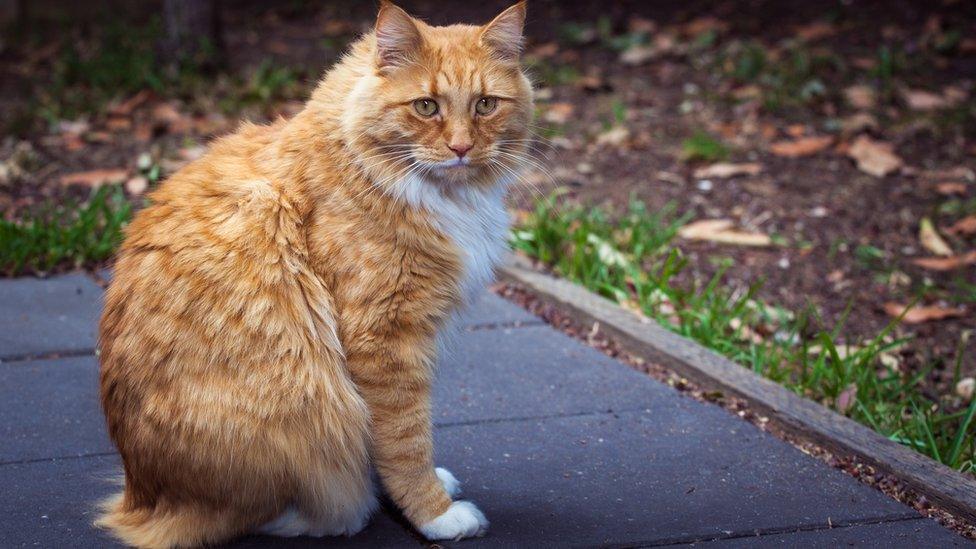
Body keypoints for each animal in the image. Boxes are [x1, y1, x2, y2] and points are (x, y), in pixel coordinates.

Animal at [95, 2, 528, 544]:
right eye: (426, 107)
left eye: (486, 105)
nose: (461, 148)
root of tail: (139, 496)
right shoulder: (384, 339)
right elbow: (405, 440)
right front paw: (435, 513)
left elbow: (394, 440)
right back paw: (348, 509)